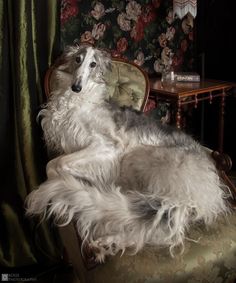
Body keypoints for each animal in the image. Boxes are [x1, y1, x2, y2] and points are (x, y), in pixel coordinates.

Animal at [25, 44, 229, 264]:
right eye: (78, 59)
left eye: (93, 64)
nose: (76, 87)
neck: (76, 101)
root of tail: (211, 188)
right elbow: (52, 163)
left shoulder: (108, 146)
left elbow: (56, 165)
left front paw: (72, 180)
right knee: (156, 227)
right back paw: (107, 243)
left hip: (142, 159)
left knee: (164, 224)